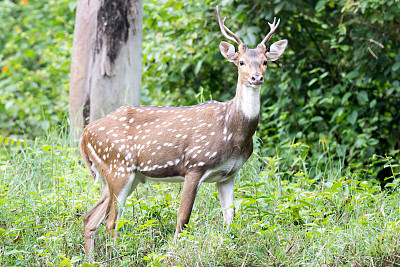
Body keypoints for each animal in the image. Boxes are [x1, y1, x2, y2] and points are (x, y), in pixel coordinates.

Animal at [79, 5, 286, 255]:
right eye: (241, 62)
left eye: (265, 61)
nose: (257, 77)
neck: (233, 133)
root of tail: (84, 134)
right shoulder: (194, 164)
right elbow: (183, 218)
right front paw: (173, 252)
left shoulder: (228, 175)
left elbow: (230, 219)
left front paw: (230, 248)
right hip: (118, 166)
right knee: (111, 219)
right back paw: (120, 255)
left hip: (124, 175)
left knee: (90, 217)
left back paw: (93, 258)